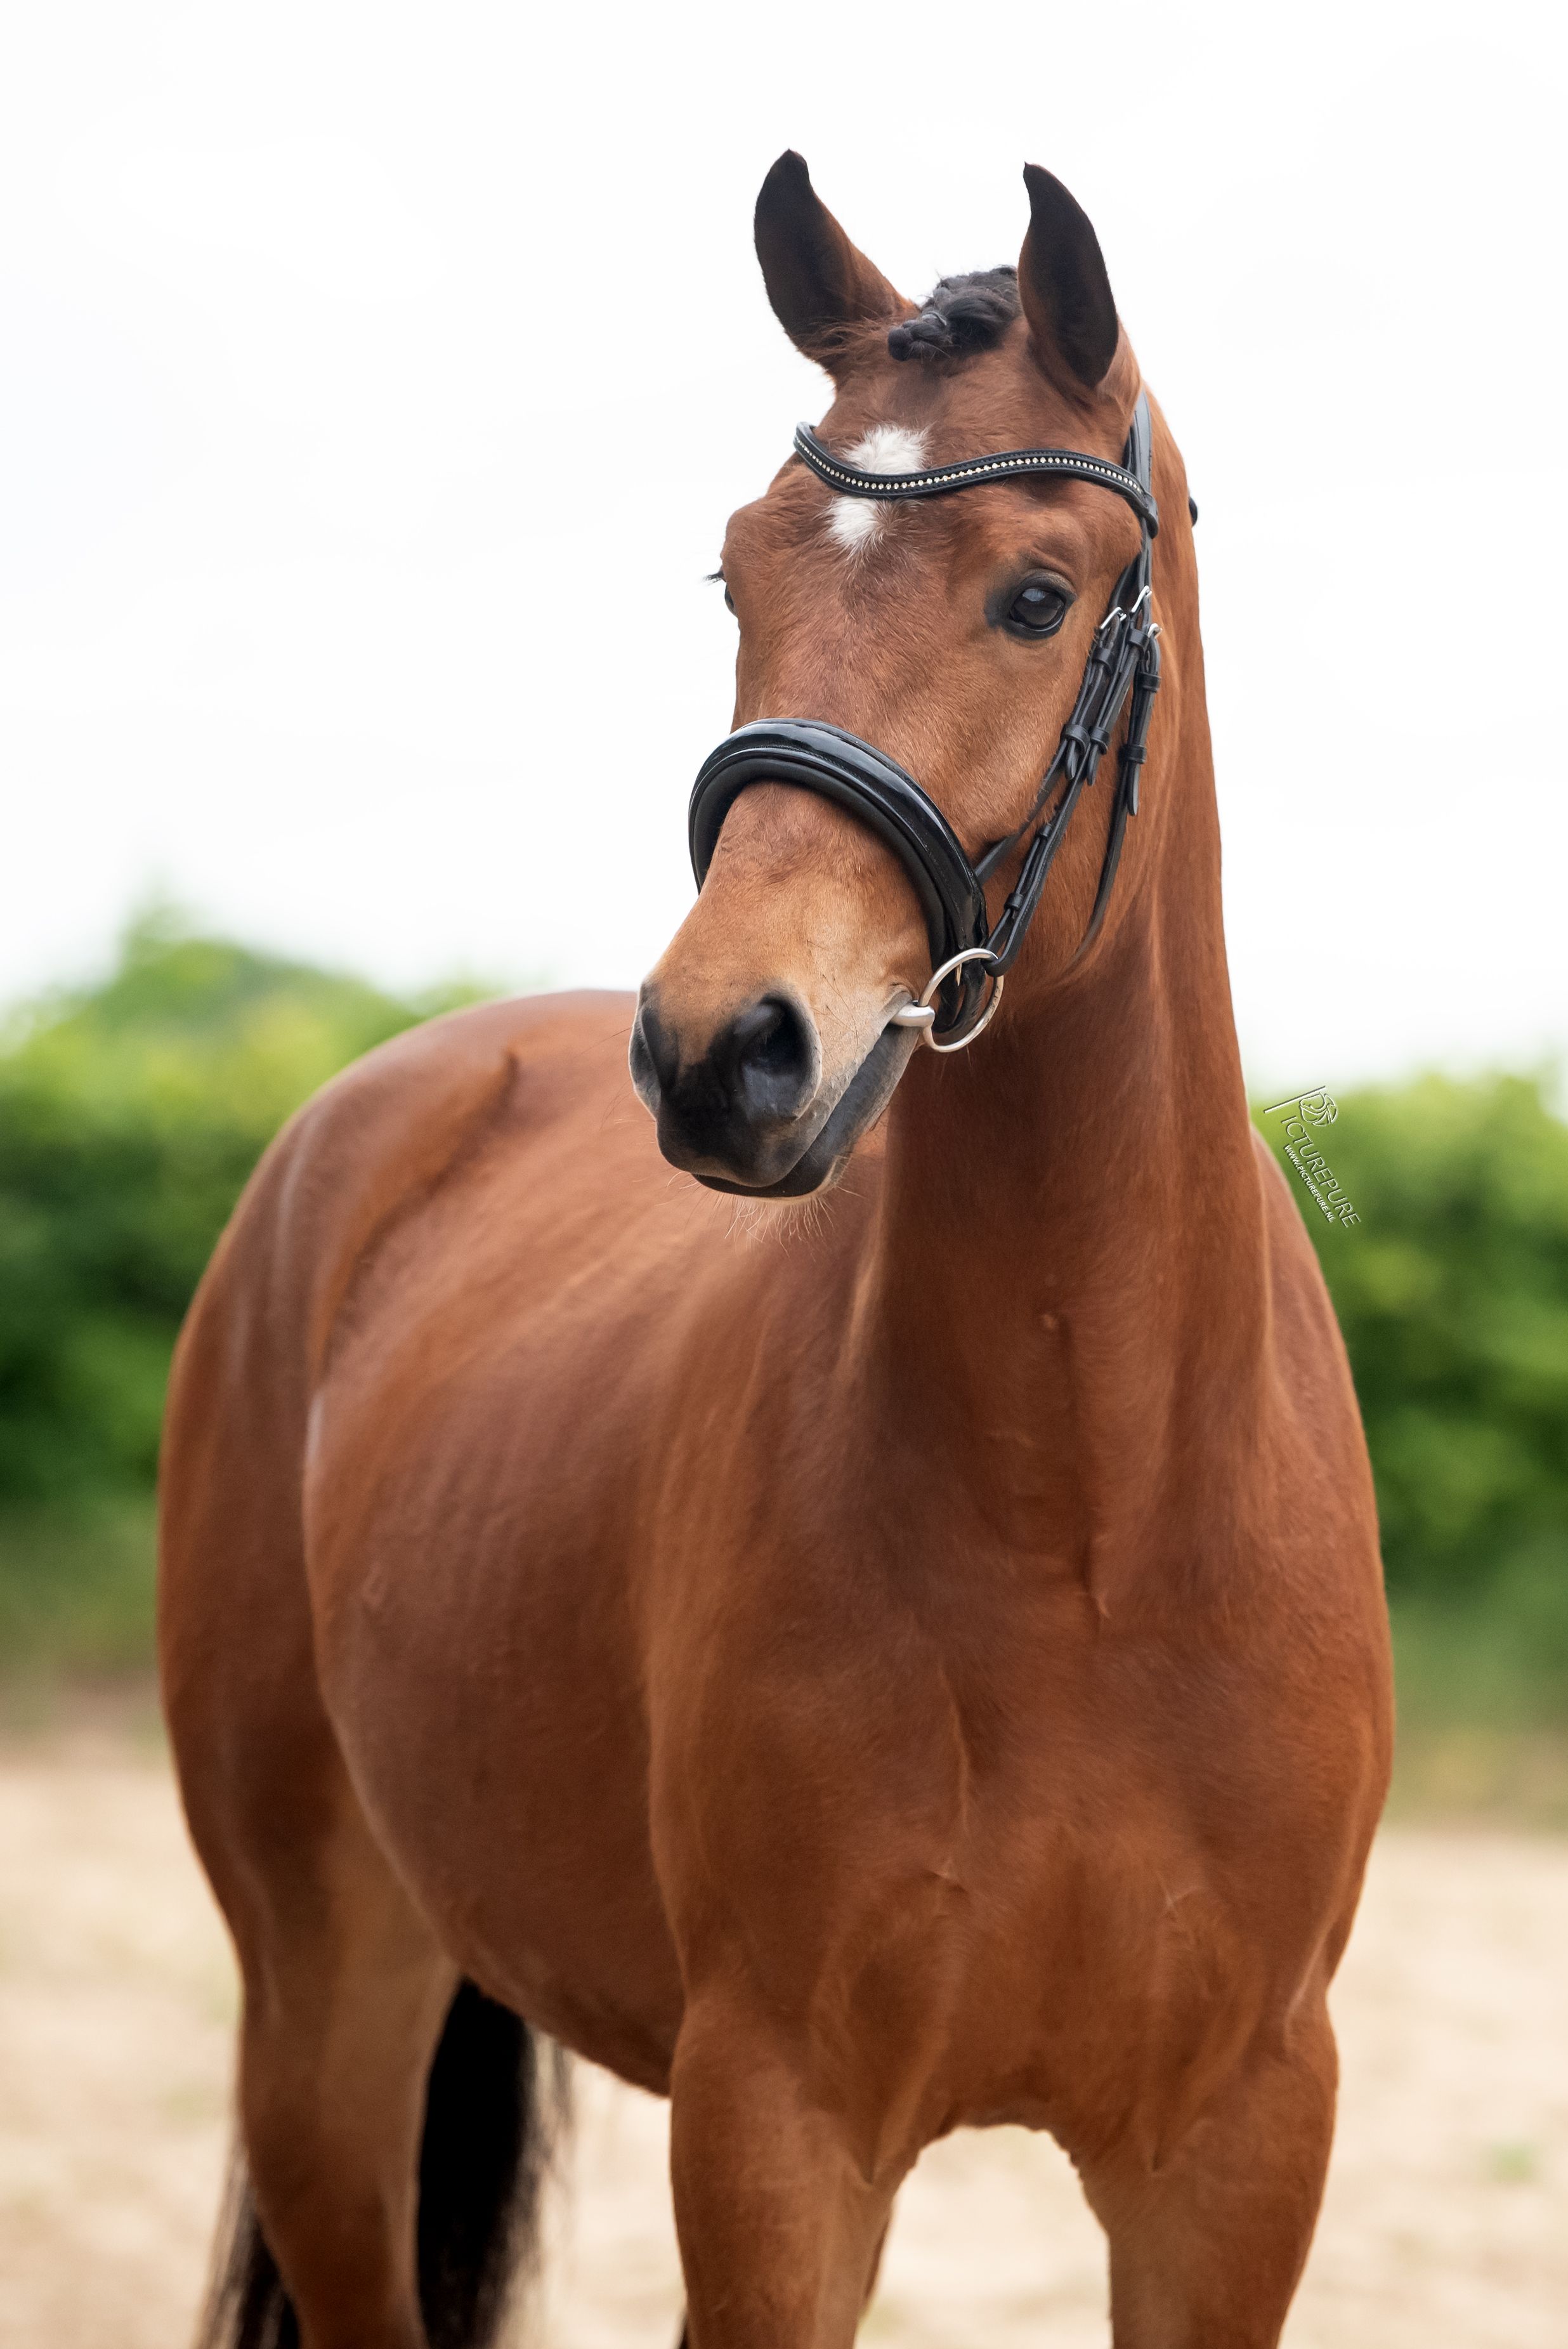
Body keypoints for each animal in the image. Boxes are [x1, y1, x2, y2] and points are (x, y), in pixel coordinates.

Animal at [160, 152, 1392, 2349]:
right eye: (738, 578)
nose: (721, 1051)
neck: (1089, 1522)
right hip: (322, 2010)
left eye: (1034, 593)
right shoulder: (779, 2133)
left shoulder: (1234, 2154)